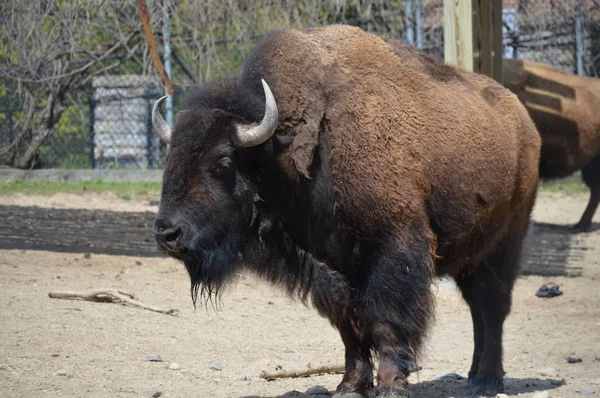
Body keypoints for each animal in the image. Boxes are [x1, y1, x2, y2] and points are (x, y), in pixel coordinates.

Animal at [152, 25, 540, 398]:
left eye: (223, 162)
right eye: (170, 158)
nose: (166, 233)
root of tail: (525, 124)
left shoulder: (395, 246)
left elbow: (385, 318)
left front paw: (391, 385)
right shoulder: (330, 263)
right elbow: (348, 323)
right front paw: (350, 385)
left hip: (504, 245)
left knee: (493, 307)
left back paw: (487, 381)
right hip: (470, 257)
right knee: (478, 310)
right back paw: (474, 375)